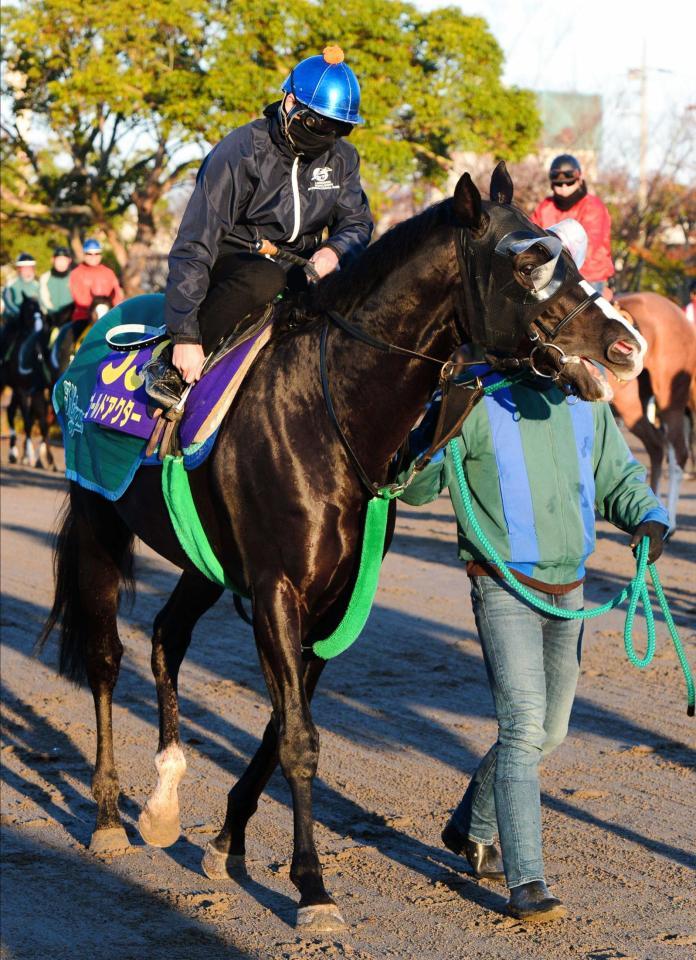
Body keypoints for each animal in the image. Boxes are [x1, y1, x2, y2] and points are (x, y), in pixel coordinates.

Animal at [39, 169, 648, 932]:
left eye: (565, 255)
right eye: (528, 262)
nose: (625, 346)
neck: (325, 414)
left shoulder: (330, 600)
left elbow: (283, 725)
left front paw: (227, 841)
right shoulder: (277, 590)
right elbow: (299, 739)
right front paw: (312, 888)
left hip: (204, 560)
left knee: (166, 638)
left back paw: (162, 804)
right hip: (99, 523)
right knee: (104, 658)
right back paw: (108, 817)